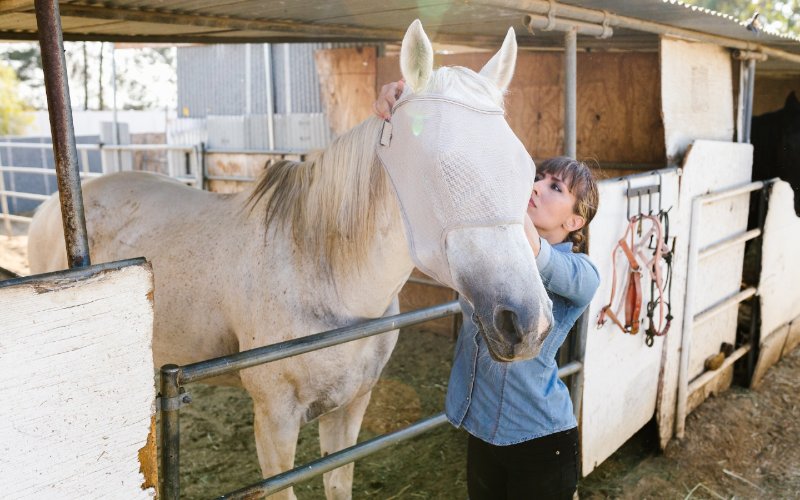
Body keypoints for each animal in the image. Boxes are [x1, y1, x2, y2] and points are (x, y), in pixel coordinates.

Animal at [31, 20, 552, 500]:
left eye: (526, 169)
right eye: (437, 167)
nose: (528, 323)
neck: (321, 270)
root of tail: (49, 208)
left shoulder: (350, 408)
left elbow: (338, 485)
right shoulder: (275, 424)